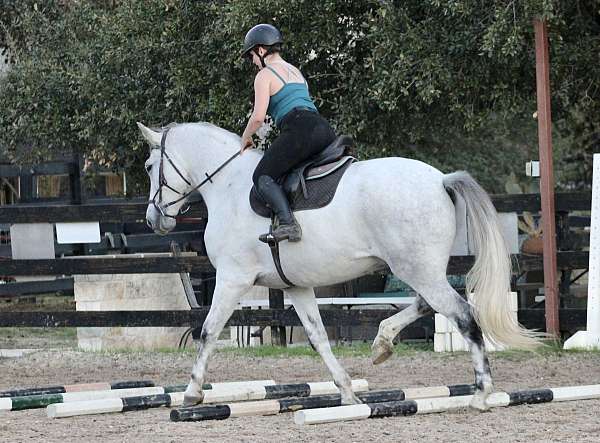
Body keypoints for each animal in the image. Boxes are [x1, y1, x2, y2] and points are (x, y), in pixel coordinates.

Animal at [138, 120, 540, 410]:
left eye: (149, 166)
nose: (153, 219)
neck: (228, 185)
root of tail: (441, 179)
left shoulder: (232, 278)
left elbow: (207, 331)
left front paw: (192, 392)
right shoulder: (295, 286)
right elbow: (319, 338)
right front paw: (347, 392)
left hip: (417, 269)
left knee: (463, 314)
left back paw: (481, 392)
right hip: (422, 269)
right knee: (427, 304)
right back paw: (382, 342)